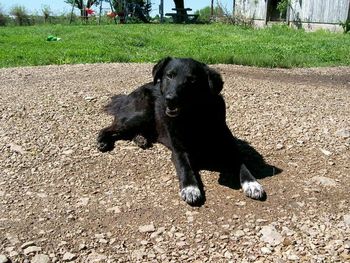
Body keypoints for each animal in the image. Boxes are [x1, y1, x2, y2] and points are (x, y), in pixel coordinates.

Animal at [95, 57, 266, 206]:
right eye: (170, 75)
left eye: (192, 80)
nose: (170, 99)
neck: (193, 118)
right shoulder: (179, 151)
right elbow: (185, 167)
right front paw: (190, 188)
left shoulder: (230, 148)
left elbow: (242, 164)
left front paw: (252, 184)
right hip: (140, 114)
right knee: (108, 128)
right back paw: (103, 141)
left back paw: (140, 139)